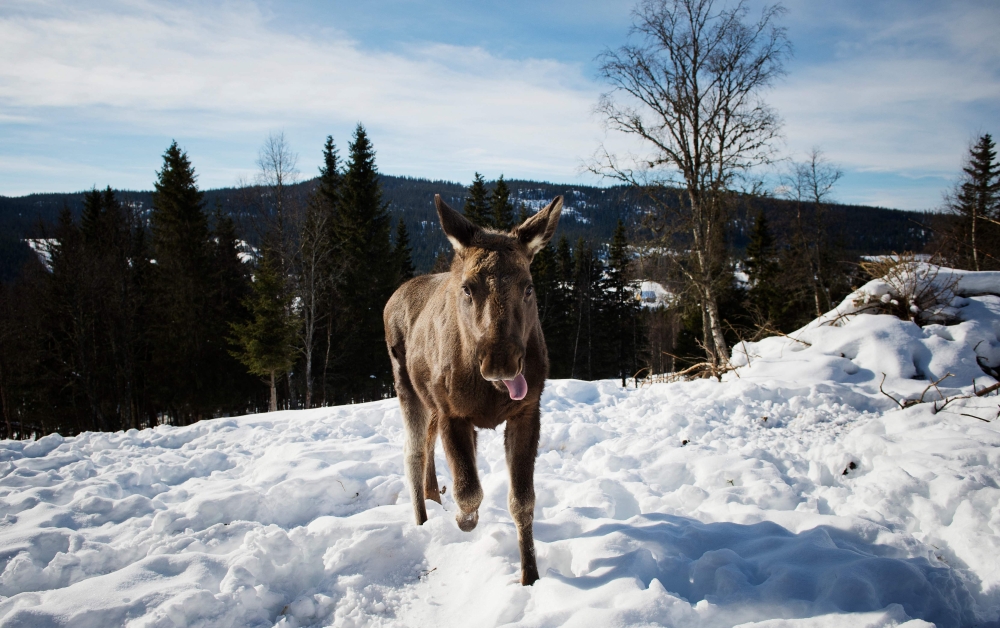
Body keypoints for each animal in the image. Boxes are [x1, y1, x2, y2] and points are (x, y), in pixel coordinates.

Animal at [383, 194, 563, 586]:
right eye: (467, 287)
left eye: (528, 286)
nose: (501, 361)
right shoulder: (453, 413)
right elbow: (469, 491)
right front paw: (463, 521)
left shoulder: (527, 411)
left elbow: (522, 501)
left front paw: (530, 576)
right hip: (408, 388)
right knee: (414, 451)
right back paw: (423, 519)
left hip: (431, 404)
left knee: (428, 446)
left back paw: (434, 497)